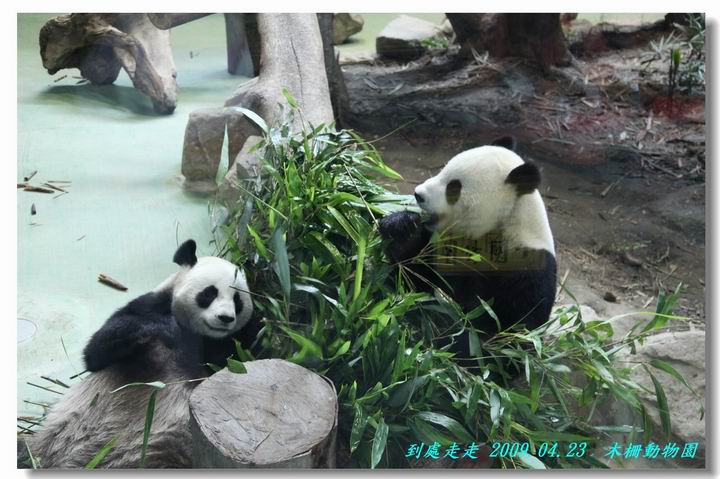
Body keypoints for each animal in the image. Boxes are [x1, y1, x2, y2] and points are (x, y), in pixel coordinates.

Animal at [23, 240, 255, 468]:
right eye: (209, 293)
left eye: (237, 300)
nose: (225, 318)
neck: (197, 334)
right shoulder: (149, 306)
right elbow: (96, 352)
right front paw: (165, 328)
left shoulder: (228, 345)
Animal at [379, 137, 556, 359]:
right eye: (443, 168)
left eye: (454, 187)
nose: (418, 194)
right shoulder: (443, 246)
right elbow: (415, 281)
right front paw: (401, 228)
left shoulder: (528, 271)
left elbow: (504, 336)